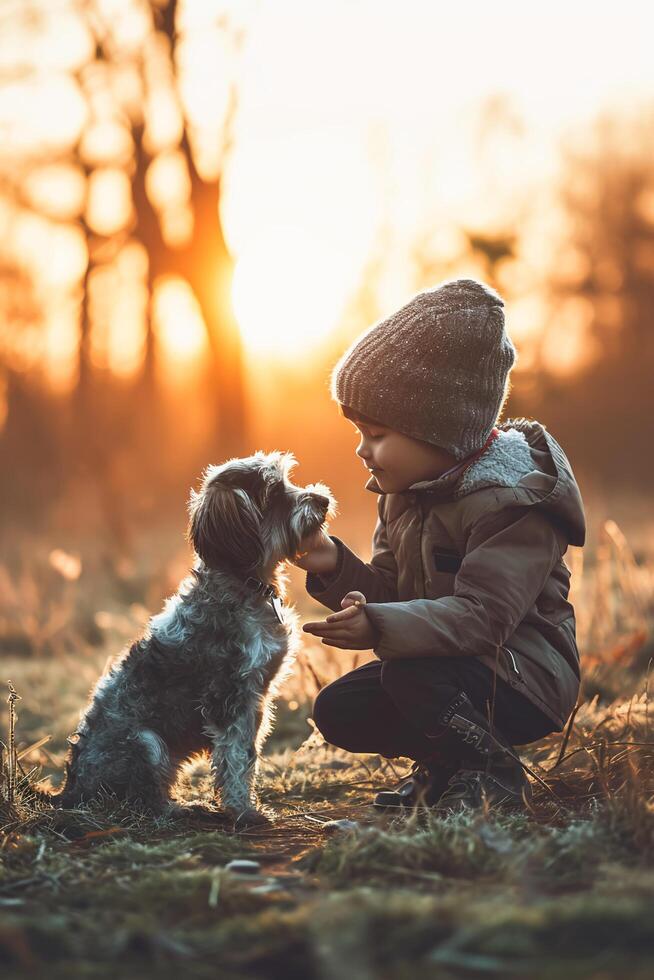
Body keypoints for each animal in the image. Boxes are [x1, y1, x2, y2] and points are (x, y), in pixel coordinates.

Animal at [50, 452, 336, 828]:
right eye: (273, 492)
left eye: (288, 480)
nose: (323, 500)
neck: (243, 584)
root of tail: (70, 791)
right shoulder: (229, 696)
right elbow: (236, 759)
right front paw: (243, 810)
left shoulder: (255, 700)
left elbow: (247, 755)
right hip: (146, 743)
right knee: (140, 800)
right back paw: (179, 808)